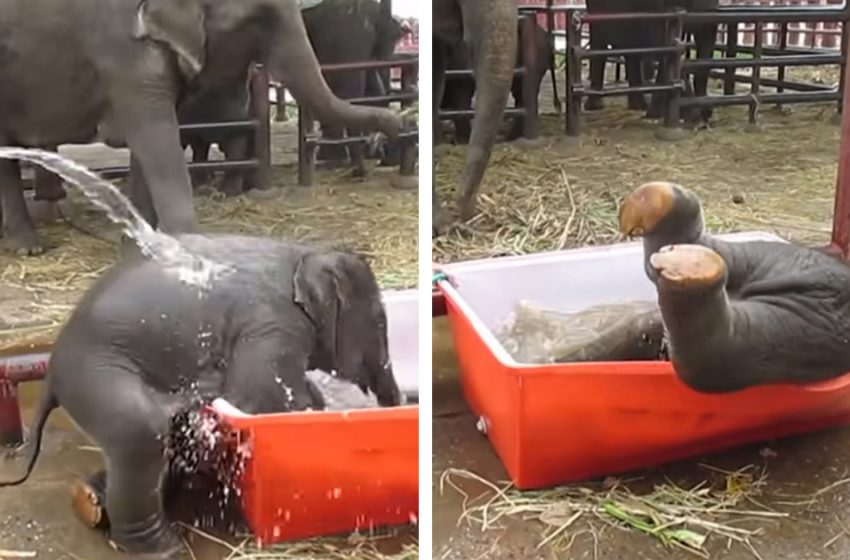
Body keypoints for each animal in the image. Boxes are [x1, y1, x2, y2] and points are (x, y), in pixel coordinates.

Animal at [0, 0, 400, 254]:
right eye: (261, 16)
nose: (397, 125)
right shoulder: (122, 50)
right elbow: (156, 139)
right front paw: (188, 249)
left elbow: (148, 147)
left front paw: (140, 248)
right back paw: (29, 248)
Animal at [0, 236, 400, 560]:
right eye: (380, 321)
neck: (305, 252)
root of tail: (52, 369)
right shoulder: (273, 324)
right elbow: (258, 398)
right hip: (96, 376)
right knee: (141, 432)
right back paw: (164, 548)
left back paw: (90, 500)